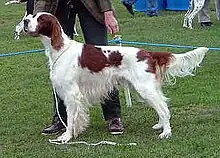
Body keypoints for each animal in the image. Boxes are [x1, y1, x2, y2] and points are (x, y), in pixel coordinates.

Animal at [24, 12, 208, 143]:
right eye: (32, 16)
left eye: (40, 19)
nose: (25, 21)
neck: (60, 49)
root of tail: (148, 53)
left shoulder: (71, 93)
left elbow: (70, 119)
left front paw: (66, 137)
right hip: (144, 89)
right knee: (162, 106)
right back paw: (160, 125)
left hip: (144, 88)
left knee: (163, 108)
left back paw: (166, 133)